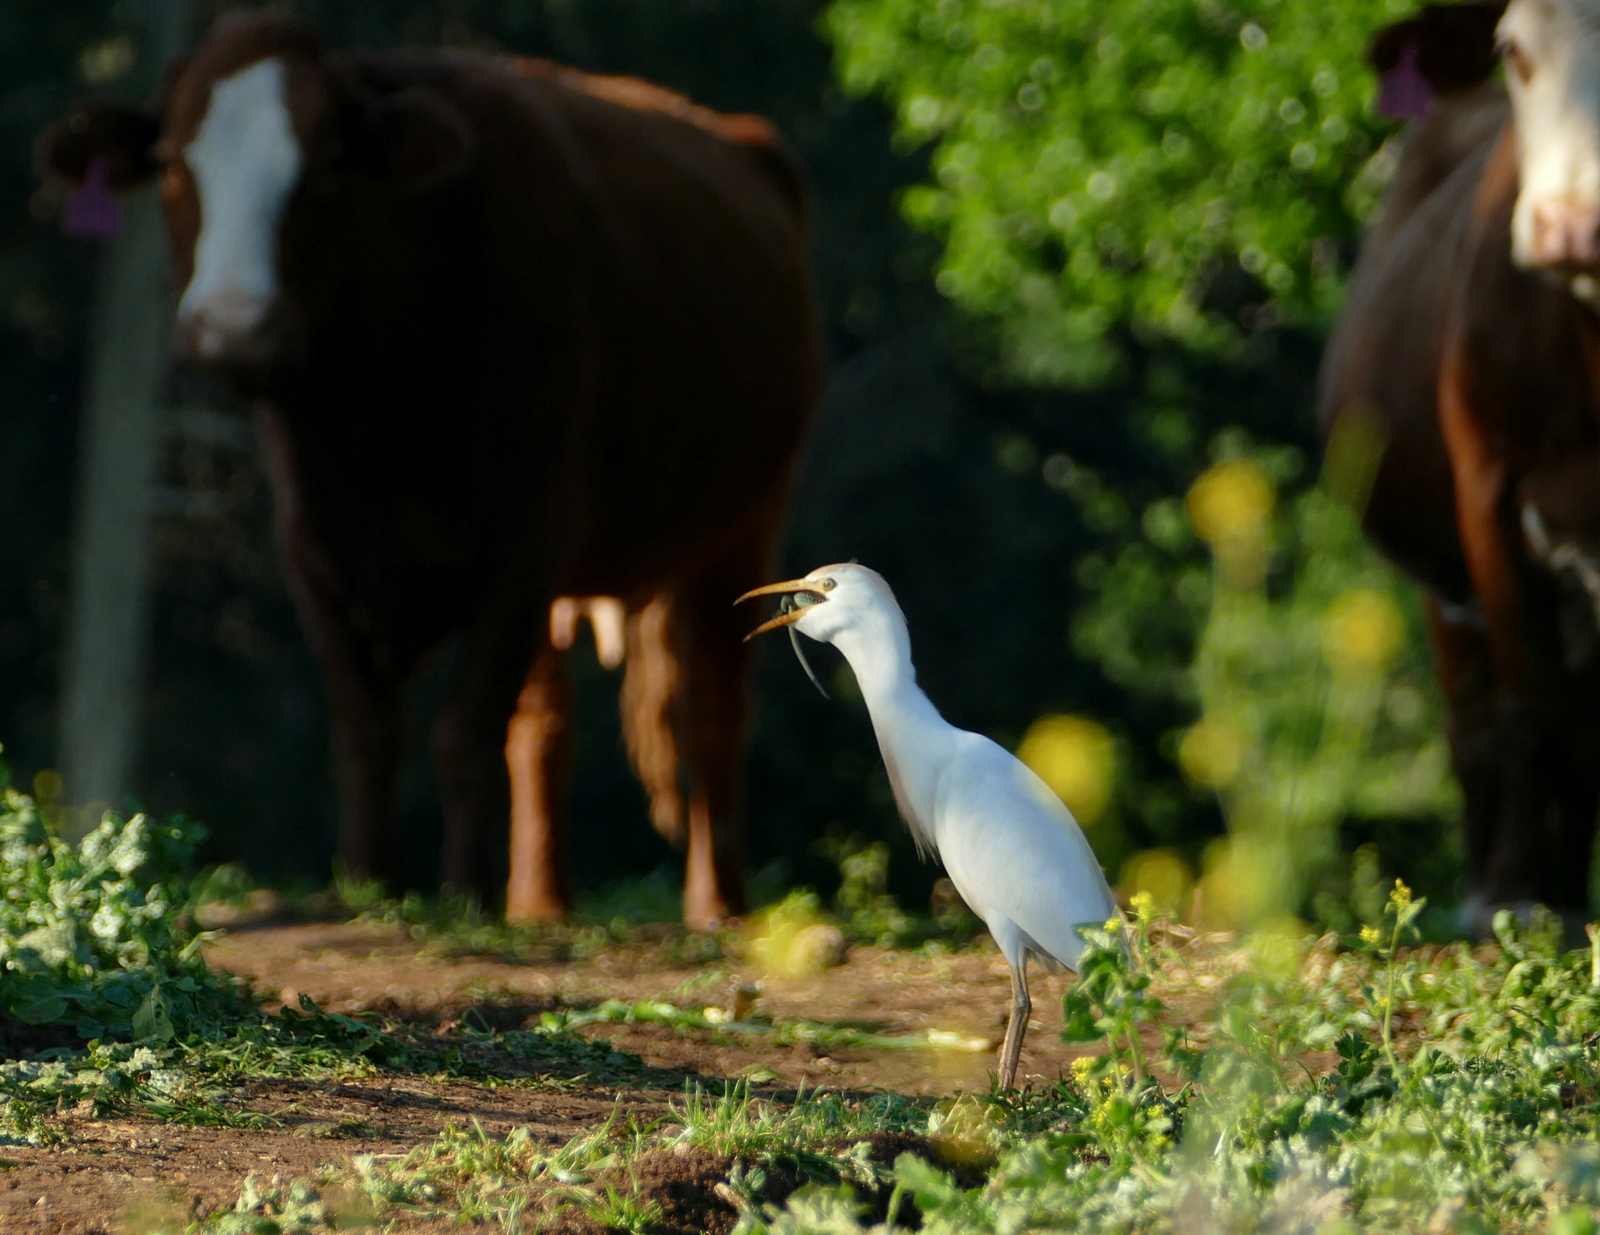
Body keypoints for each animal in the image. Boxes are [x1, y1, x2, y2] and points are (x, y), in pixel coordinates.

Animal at [40, 12, 825, 927]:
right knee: (545, 725)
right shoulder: (314, 547)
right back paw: (540, 898)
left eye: (328, 162)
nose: (233, 328)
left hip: (747, 515)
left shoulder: (523, 539)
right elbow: (369, 725)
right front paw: (368, 882)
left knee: (712, 704)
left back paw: (715, 900)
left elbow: (465, 726)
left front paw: (462, 892)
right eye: (171, 161)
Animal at [1318, 0, 1600, 934]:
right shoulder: (1488, 493)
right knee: (1476, 722)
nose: (1572, 225)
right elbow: (1526, 703)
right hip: (1442, 578)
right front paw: (1516, 893)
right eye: (1515, 49)